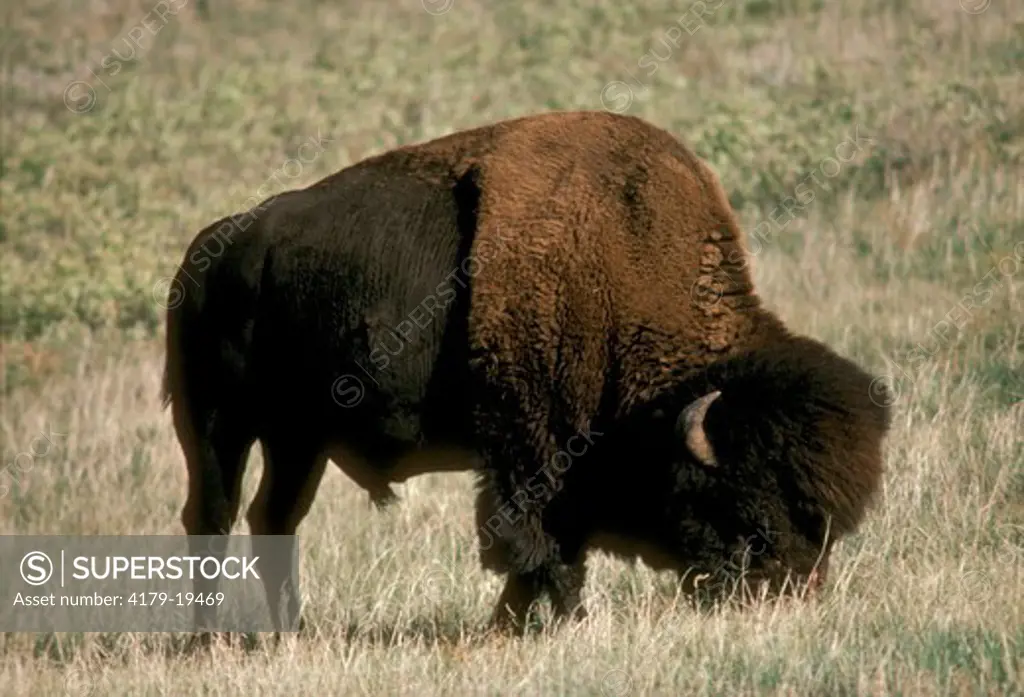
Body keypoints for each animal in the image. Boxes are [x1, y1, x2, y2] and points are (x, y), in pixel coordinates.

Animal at [163, 108, 892, 634]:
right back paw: (207, 642)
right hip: (219, 424)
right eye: (749, 505)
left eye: (829, 522)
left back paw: (288, 632)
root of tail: (206, 252)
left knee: (274, 518)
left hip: (298, 438)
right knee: (213, 517)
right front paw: (558, 622)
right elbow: (537, 545)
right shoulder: (529, 451)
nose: (789, 593)